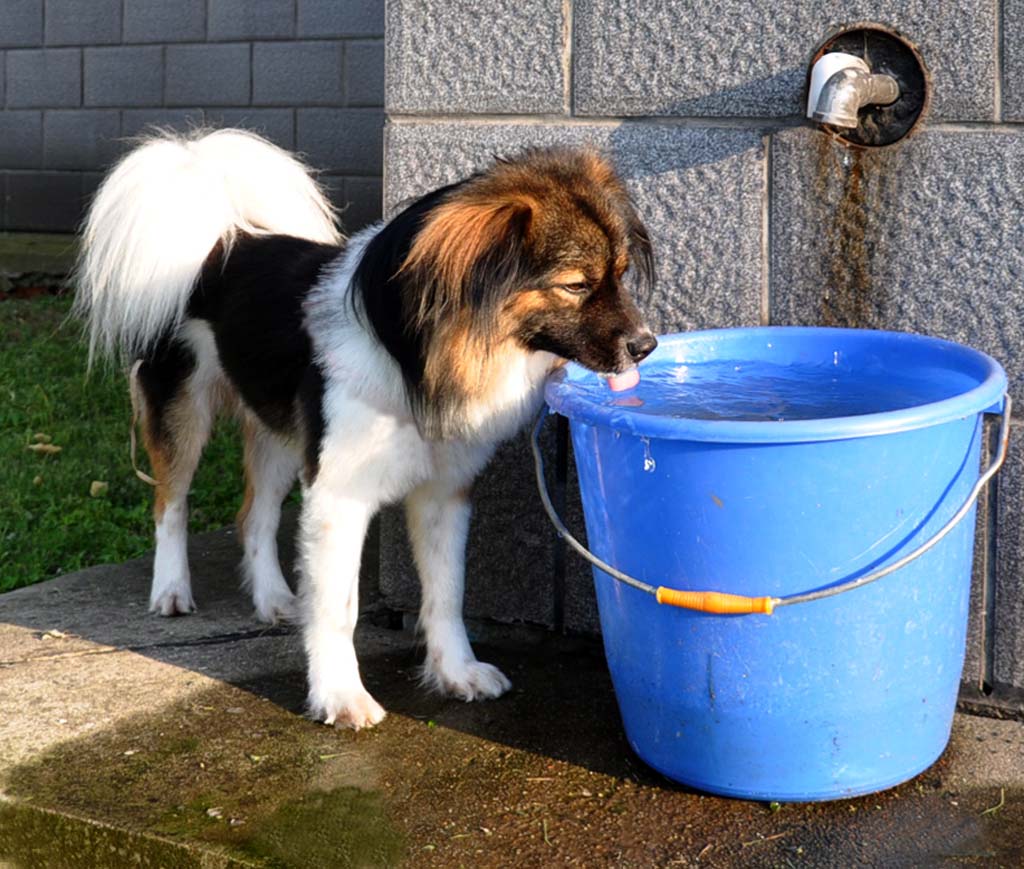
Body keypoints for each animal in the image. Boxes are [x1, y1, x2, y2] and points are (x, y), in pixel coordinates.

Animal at [75, 126, 659, 724]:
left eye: (620, 275)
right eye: (576, 285)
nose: (647, 346)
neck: (420, 360)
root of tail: (221, 242)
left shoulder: (444, 493)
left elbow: (447, 592)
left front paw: (456, 672)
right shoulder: (338, 495)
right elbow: (340, 607)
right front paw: (340, 695)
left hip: (282, 436)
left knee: (253, 516)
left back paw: (274, 599)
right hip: (184, 411)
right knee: (170, 504)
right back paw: (171, 589)